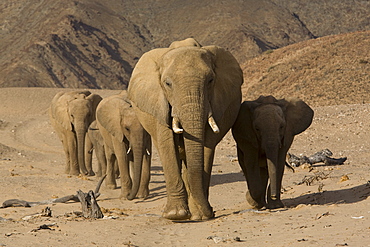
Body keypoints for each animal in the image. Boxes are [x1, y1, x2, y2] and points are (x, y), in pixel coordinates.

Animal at [127, 38, 243, 220]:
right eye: (167, 83)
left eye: (210, 80)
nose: (212, 211)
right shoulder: (159, 103)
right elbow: (167, 144)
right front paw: (177, 215)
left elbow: (206, 147)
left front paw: (200, 216)